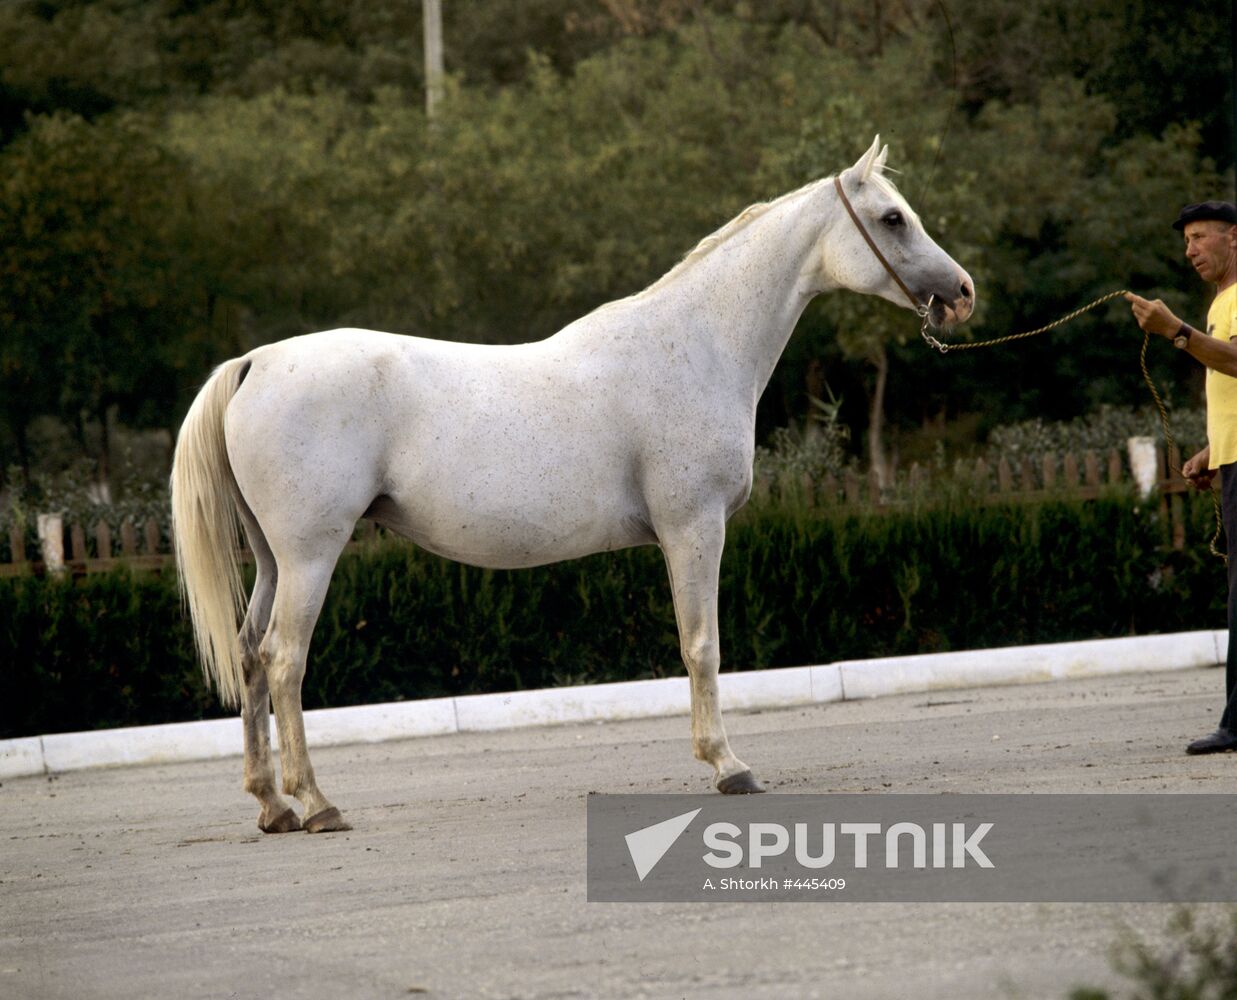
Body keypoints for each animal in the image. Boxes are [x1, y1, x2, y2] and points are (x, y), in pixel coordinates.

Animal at [171, 136, 974, 833]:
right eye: (892, 217)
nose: (962, 293)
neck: (695, 343)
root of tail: (255, 362)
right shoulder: (694, 526)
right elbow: (702, 646)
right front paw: (728, 767)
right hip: (310, 555)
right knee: (285, 661)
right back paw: (317, 805)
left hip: (272, 559)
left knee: (249, 655)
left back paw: (272, 806)